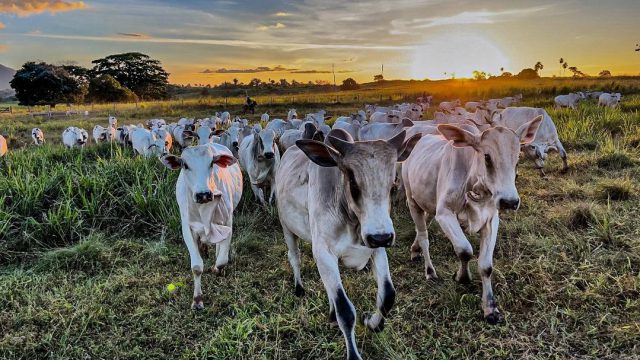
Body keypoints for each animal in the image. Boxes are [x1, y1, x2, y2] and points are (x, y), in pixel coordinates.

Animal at [160, 143, 242, 310]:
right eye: (185, 165)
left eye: (211, 163)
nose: (203, 194)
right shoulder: (187, 228)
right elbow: (197, 267)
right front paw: (197, 300)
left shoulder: (227, 222)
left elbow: (222, 261)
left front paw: (216, 268)